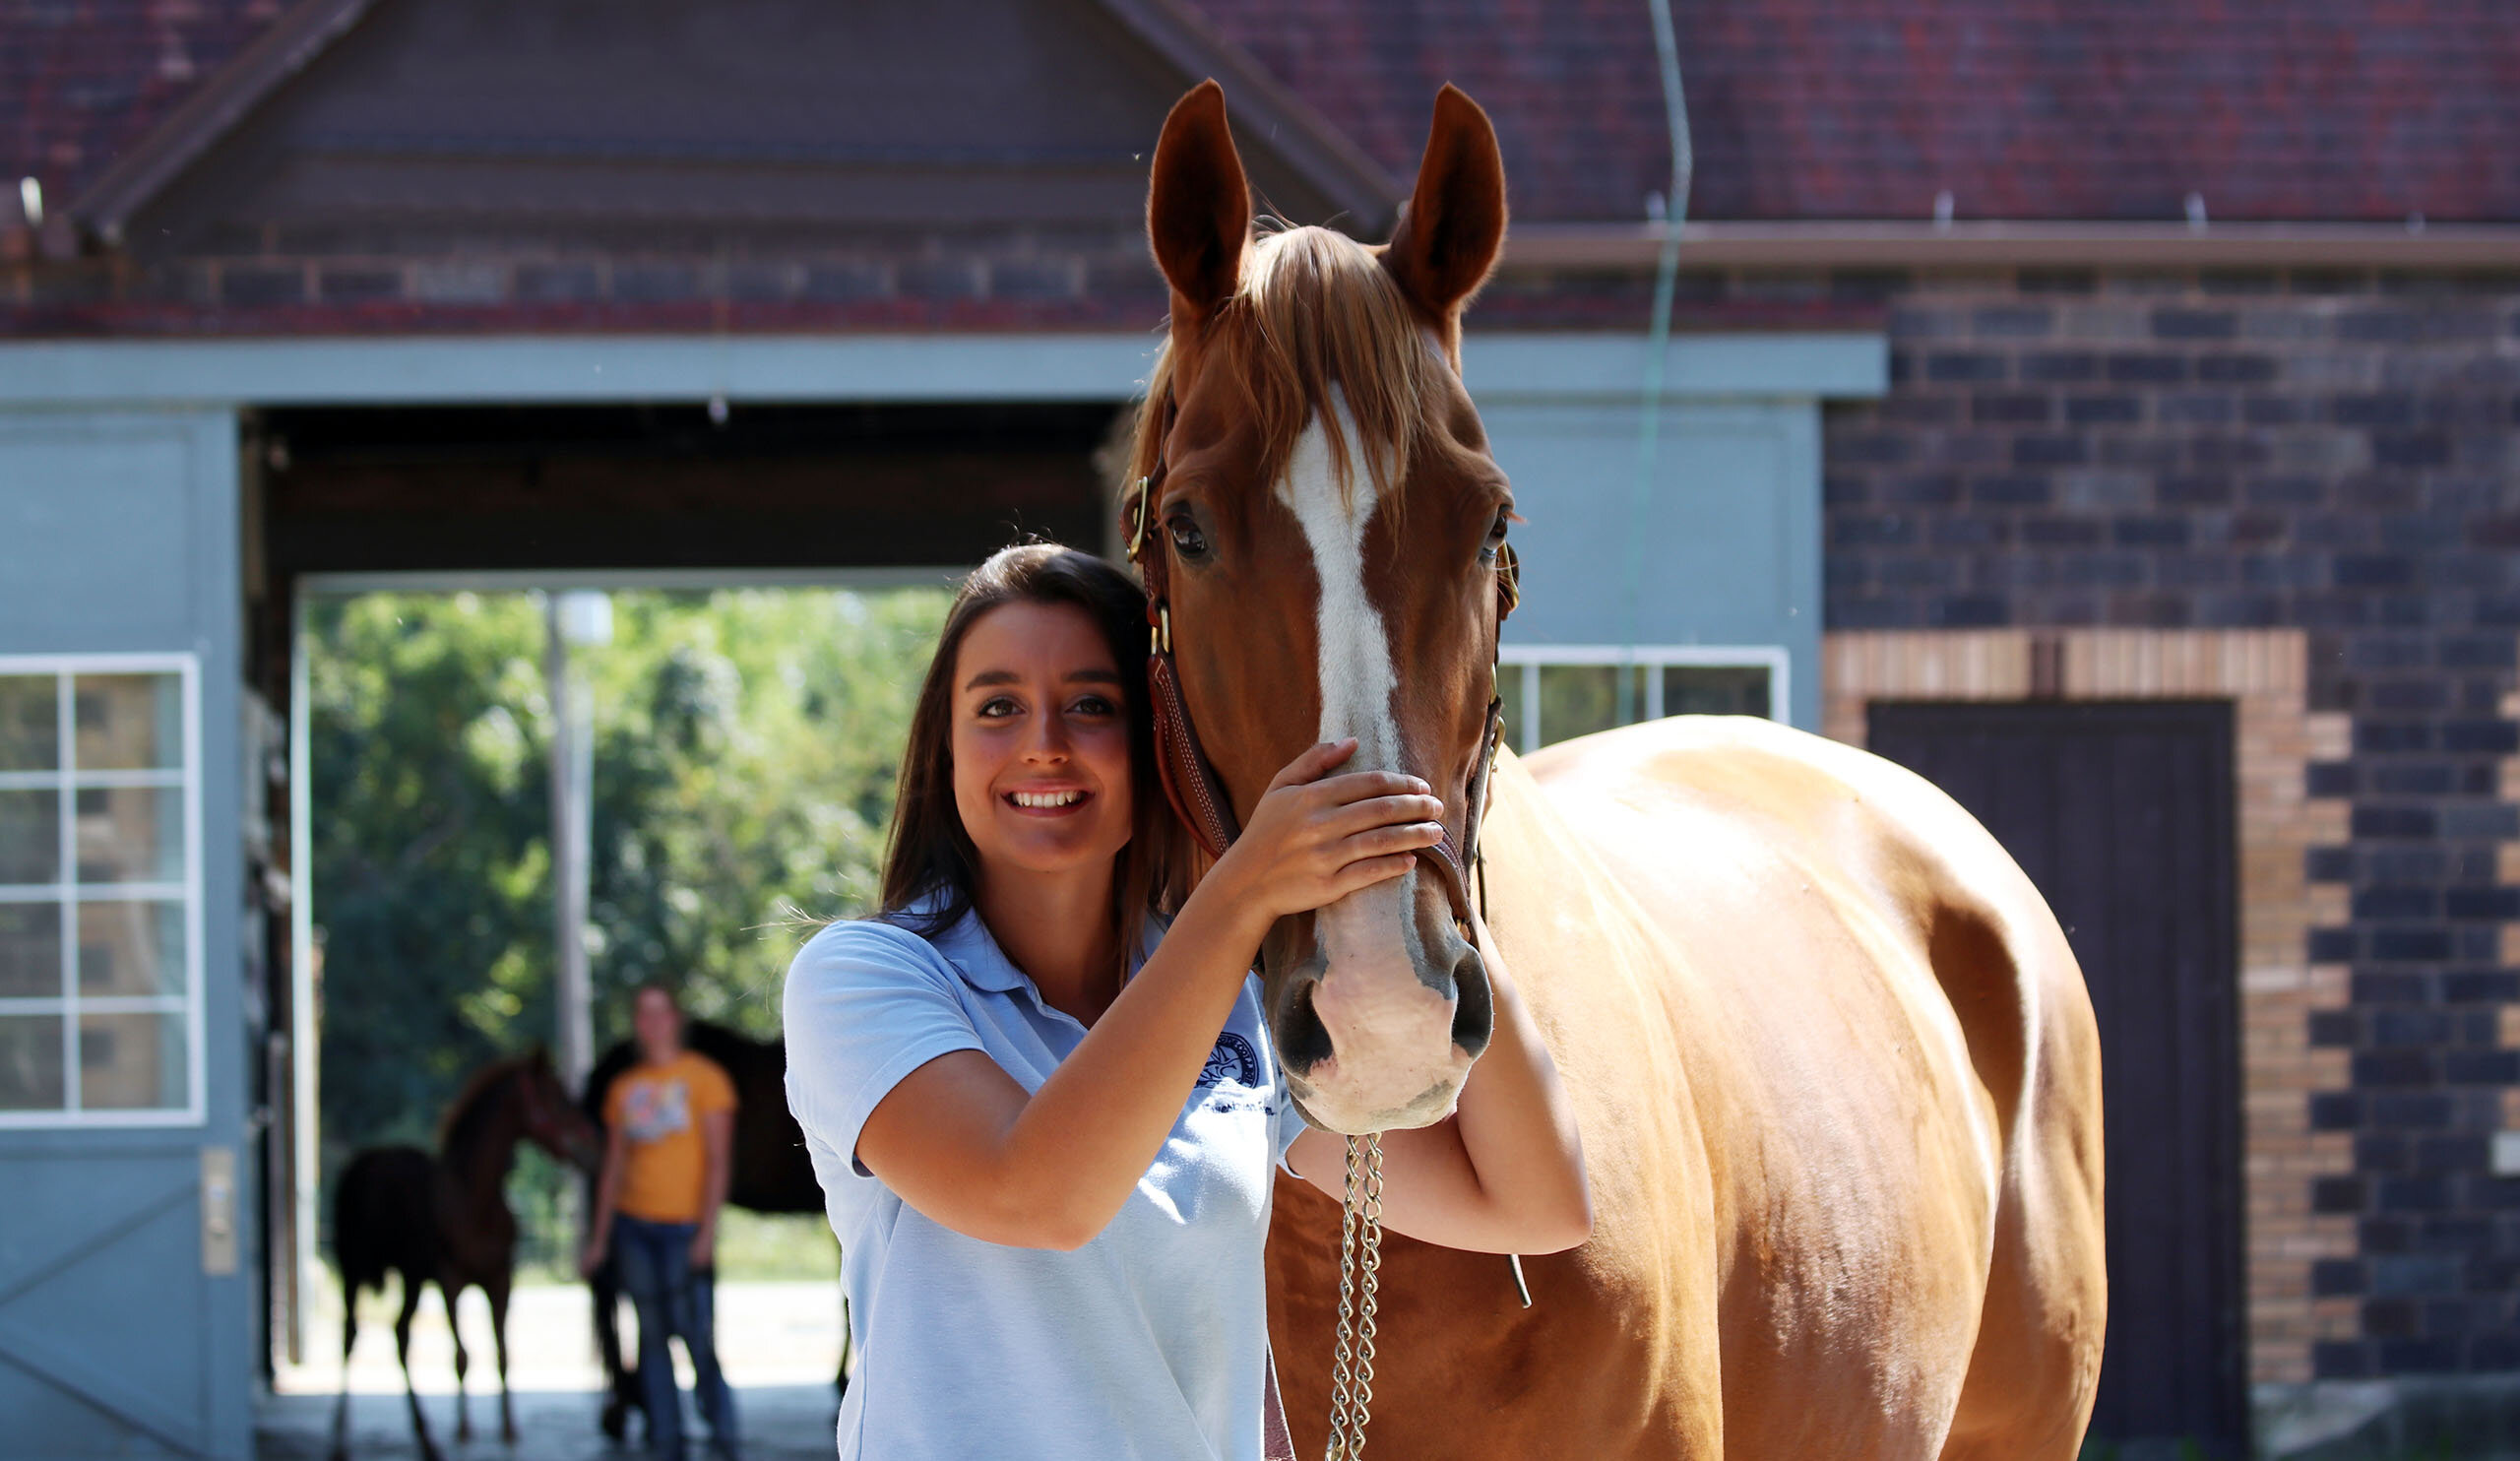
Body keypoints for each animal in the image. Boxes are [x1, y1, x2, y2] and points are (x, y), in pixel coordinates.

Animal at [327, 1048, 597, 1461]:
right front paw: (465, 1431)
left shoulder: (500, 1280)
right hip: (353, 1268)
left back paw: (426, 1438)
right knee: (350, 1335)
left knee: (400, 1336)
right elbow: (462, 1356)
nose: (591, 1144)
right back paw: (341, 1439)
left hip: (410, 1277)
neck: (473, 1199)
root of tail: (364, 1161)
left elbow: (503, 1354)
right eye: (557, 1097)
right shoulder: (450, 1280)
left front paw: (508, 1431)